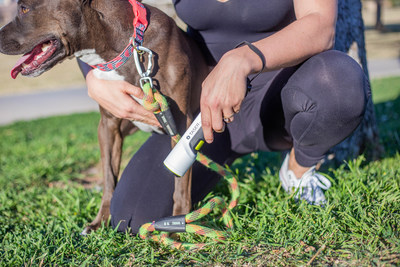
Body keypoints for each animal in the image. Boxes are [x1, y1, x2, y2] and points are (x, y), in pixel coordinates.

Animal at [0, 0, 206, 234]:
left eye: (24, 8)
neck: (127, 49)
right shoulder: (108, 125)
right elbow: (109, 177)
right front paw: (100, 221)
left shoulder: (181, 123)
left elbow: (181, 183)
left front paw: (178, 223)